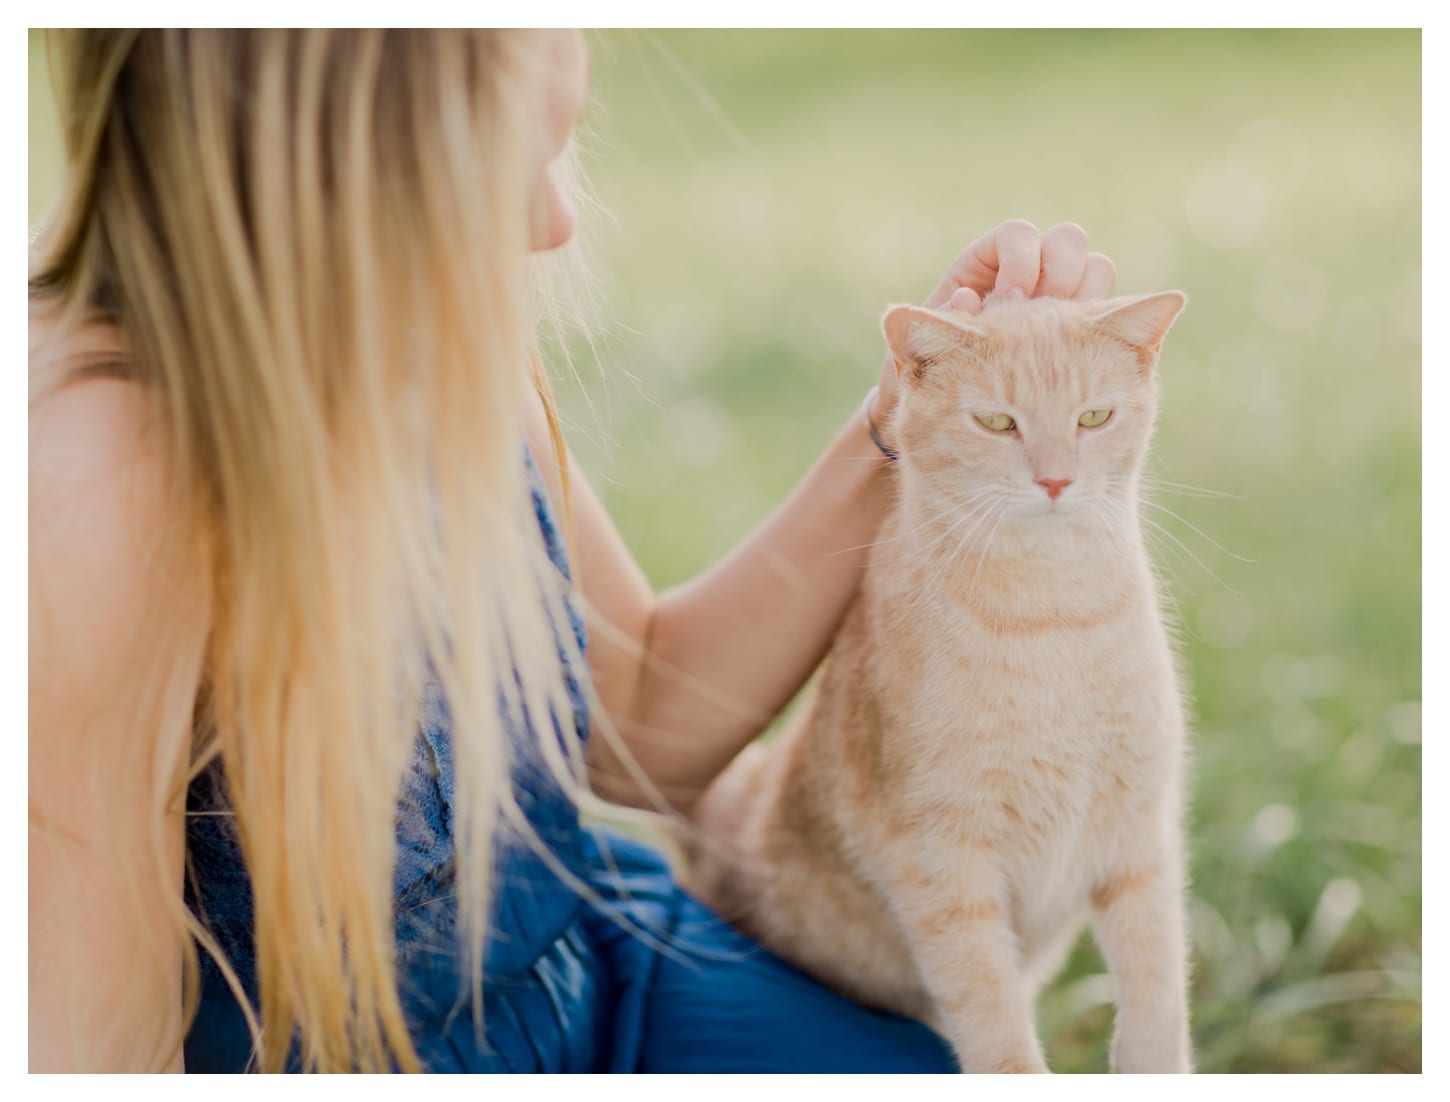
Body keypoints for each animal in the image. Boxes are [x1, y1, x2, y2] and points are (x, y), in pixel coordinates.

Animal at [684, 288, 1194, 1073]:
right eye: (997, 422)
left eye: (1093, 418)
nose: (1056, 480)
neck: (1051, 617)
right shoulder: (943, 868)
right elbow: (997, 1032)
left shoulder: (1139, 841)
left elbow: (1157, 991)